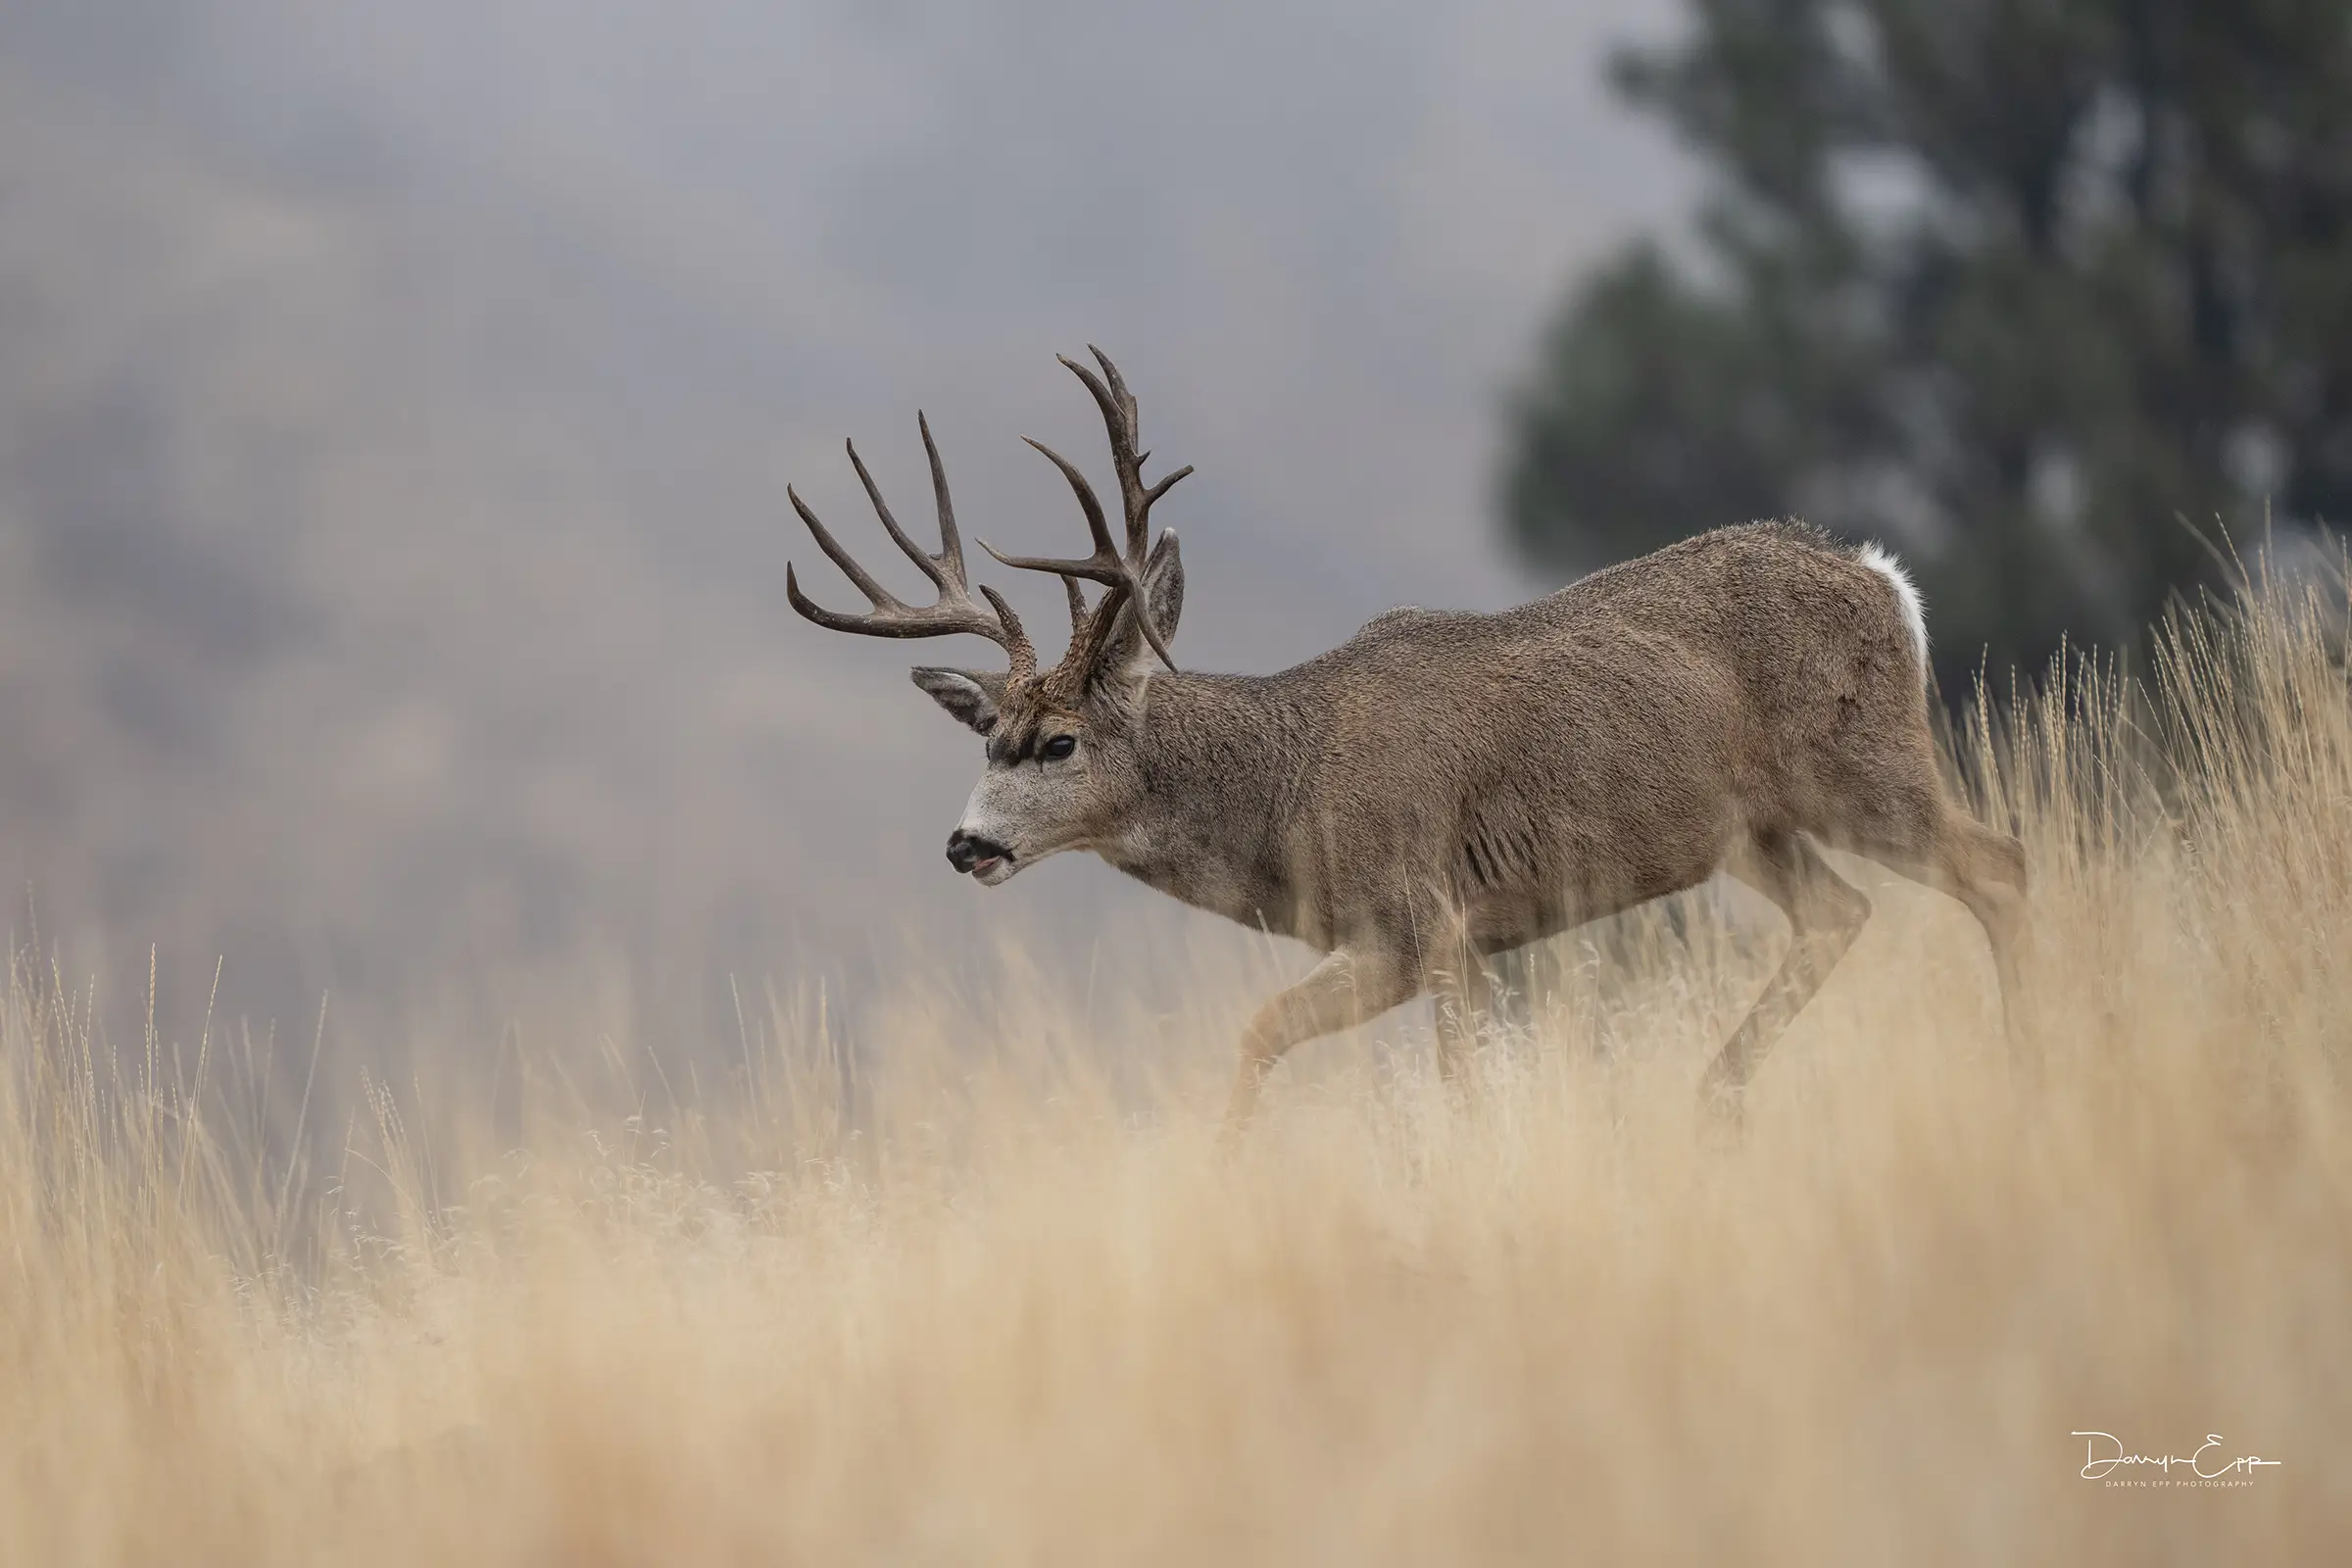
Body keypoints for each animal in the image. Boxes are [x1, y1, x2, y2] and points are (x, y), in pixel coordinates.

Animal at [783, 348, 2028, 1129]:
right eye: (985, 733)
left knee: (1998, 865)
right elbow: (1265, 1032)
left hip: (1861, 765)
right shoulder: (1400, 941)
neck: (1286, 790)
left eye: (1058, 743)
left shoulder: (1430, 917)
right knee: (1844, 911)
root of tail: (1883, 578)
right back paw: (1712, 1093)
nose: (967, 844)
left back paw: (2037, 1048)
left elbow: (1445, 1081)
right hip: (1751, 829)